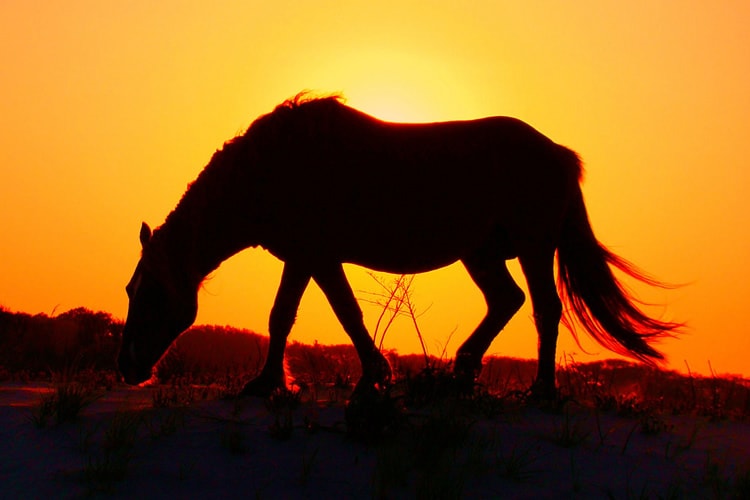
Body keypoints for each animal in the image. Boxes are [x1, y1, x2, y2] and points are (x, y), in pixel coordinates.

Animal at [117, 93, 680, 398]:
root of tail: (557, 151)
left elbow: (345, 314)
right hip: (481, 252)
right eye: (129, 290)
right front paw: (267, 383)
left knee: (544, 308)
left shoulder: (319, 255)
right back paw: (461, 372)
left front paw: (373, 376)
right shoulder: (301, 257)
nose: (125, 369)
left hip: (533, 246)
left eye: (152, 294)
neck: (272, 168)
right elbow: (281, 317)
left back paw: (540, 391)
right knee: (507, 301)